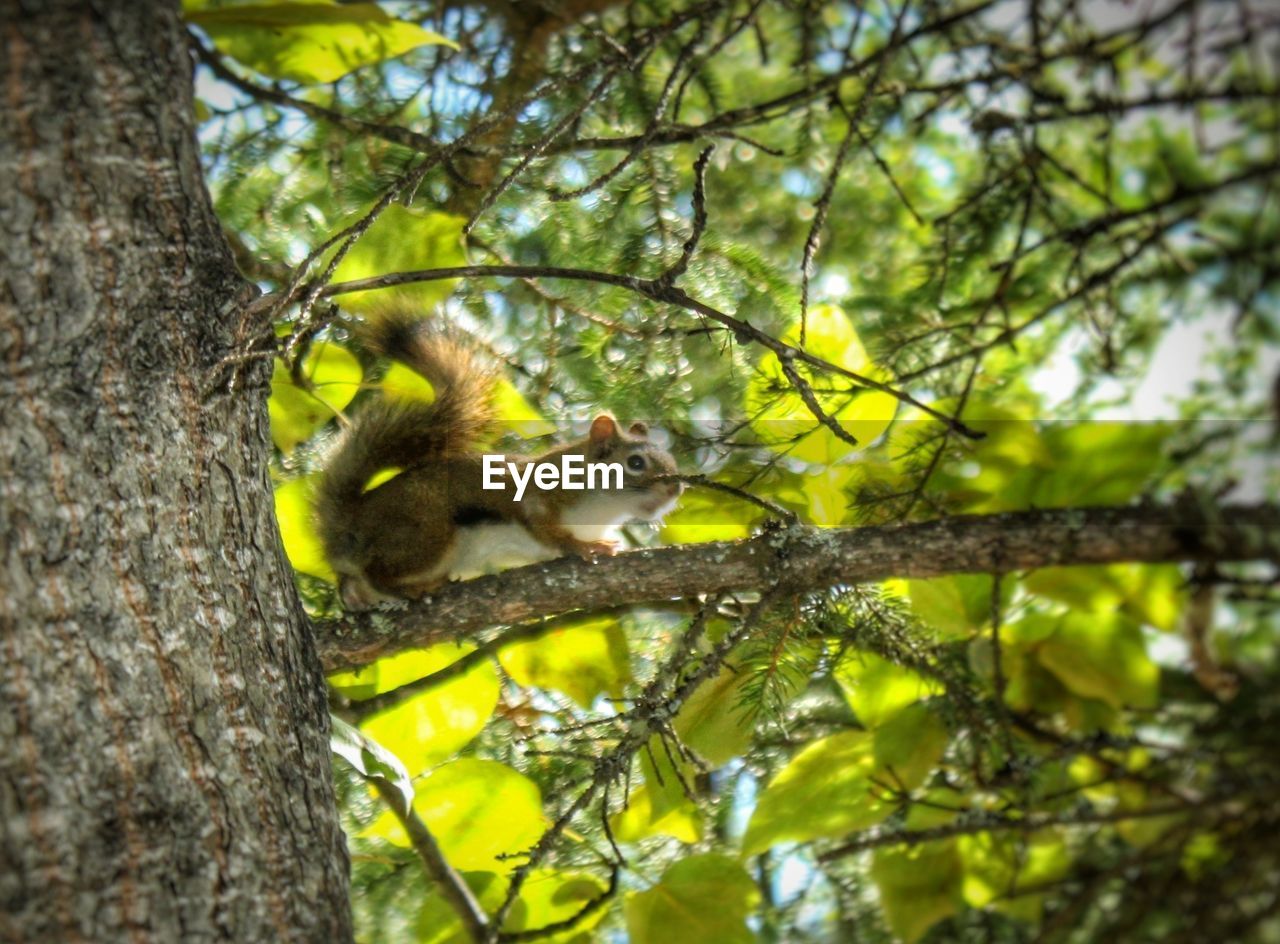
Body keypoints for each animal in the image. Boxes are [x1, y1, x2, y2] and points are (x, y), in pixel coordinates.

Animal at [314, 312, 686, 606]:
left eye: (670, 458)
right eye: (635, 462)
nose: (675, 489)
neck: (605, 507)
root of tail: (346, 529)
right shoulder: (538, 496)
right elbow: (548, 531)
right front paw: (584, 547)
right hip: (423, 532)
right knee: (379, 571)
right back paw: (414, 588)